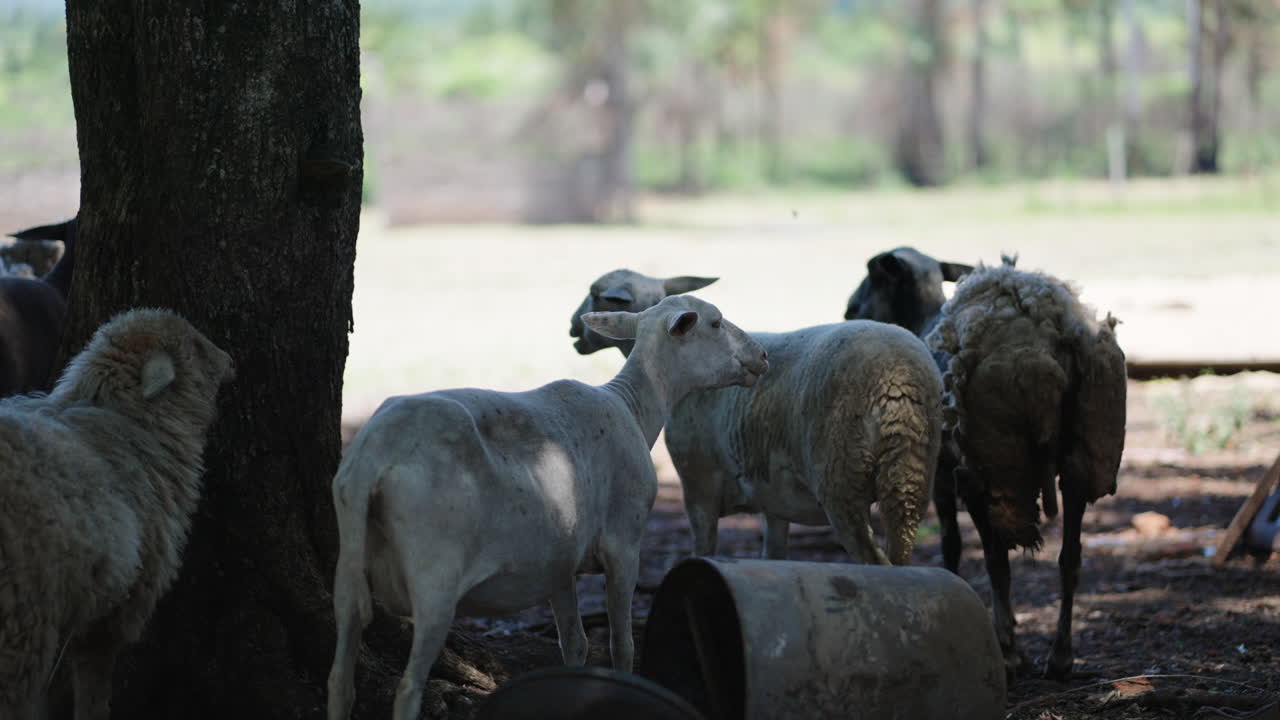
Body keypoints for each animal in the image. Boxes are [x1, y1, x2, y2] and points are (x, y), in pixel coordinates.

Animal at [0, 307, 235, 720]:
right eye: (196, 346)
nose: (231, 362)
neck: (126, 420)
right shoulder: (114, 610)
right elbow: (94, 684)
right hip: (20, 621)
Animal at [327, 294, 768, 720]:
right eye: (715, 322)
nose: (762, 356)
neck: (636, 408)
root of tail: (374, 457)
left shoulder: (558, 562)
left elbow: (574, 644)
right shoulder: (624, 542)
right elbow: (621, 644)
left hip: (347, 569)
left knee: (340, 680)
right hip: (435, 571)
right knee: (407, 689)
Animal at [569, 269, 943, 566]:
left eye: (596, 293)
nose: (572, 329)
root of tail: (898, 377)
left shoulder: (698, 486)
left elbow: (704, 549)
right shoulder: (773, 500)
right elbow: (774, 554)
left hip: (842, 479)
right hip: (911, 475)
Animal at [927, 256, 1126, 680]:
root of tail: (1055, 335)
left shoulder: (943, 478)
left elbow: (956, 547)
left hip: (992, 467)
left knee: (998, 560)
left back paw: (1010, 652)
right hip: (1083, 458)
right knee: (1070, 558)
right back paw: (1060, 657)